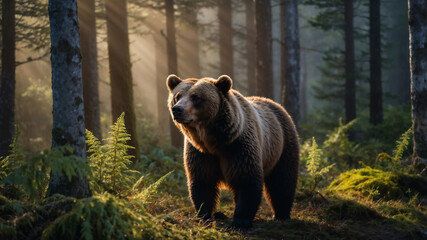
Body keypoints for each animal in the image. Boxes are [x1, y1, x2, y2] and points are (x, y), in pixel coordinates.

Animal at [166, 74, 300, 228]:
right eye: (177, 96)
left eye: (195, 97)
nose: (177, 109)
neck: (214, 141)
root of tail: (276, 105)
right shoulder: (200, 152)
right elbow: (202, 181)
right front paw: (205, 217)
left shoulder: (239, 147)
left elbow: (246, 180)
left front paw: (240, 222)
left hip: (283, 144)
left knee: (282, 180)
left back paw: (281, 215)